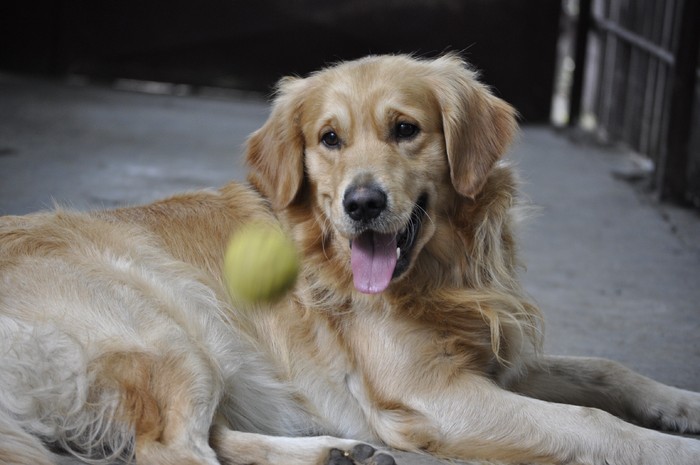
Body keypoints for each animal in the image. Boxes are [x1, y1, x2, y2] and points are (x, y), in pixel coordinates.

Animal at [1, 54, 700, 464]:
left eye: (405, 129)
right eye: (328, 139)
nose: (362, 204)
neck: (443, 272)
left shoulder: (497, 358)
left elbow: (608, 370)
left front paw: (683, 404)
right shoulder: (434, 395)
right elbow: (592, 419)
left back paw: (336, 452)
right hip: (171, 334)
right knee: (171, 450)